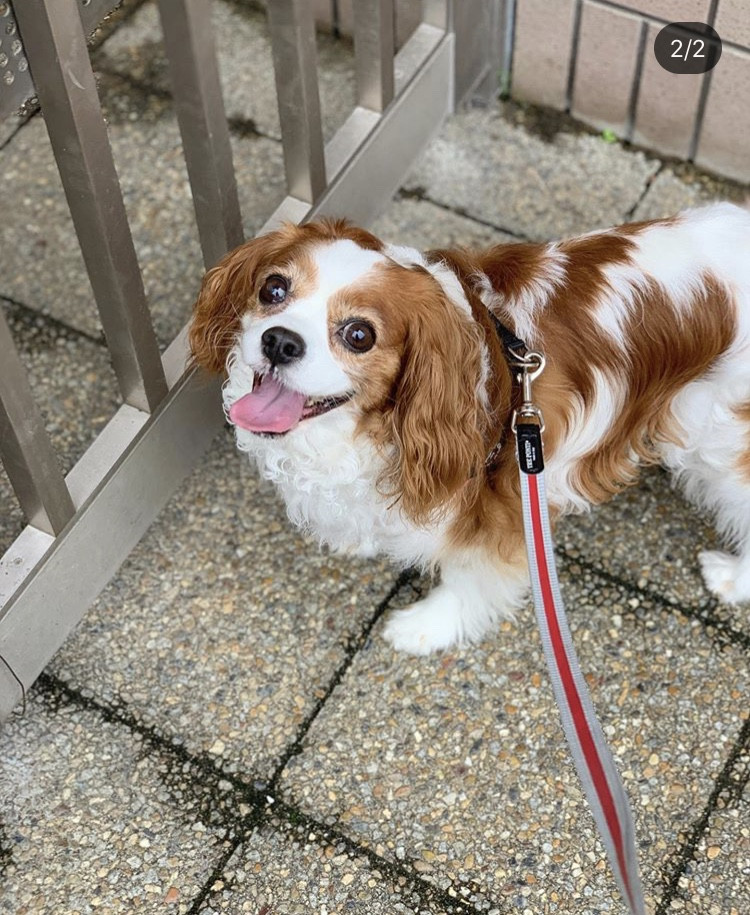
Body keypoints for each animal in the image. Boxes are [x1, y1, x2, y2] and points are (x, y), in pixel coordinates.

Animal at [189, 204, 750, 656]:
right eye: (273, 288)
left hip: (723, 440)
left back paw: (731, 578)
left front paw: (425, 627)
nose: (280, 340)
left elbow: (472, 575)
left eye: (359, 335)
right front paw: (361, 536)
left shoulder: (508, 496)